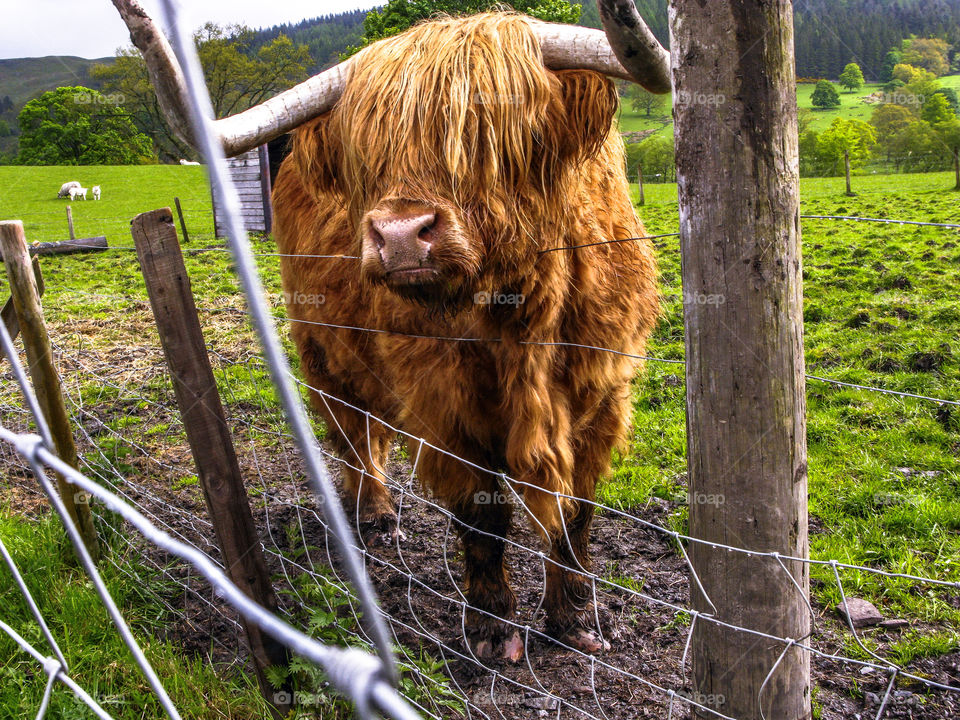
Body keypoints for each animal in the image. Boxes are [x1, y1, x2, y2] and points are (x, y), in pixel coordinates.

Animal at [112, 0, 670, 662]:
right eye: (369, 154)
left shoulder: (603, 394)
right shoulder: (445, 404)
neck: (518, 317)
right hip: (320, 349)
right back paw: (374, 514)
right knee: (352, 433)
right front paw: (490, 629)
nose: (400, 235)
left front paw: (575, 618)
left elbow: (575, 513)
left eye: (489, 132)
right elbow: (482, 515)